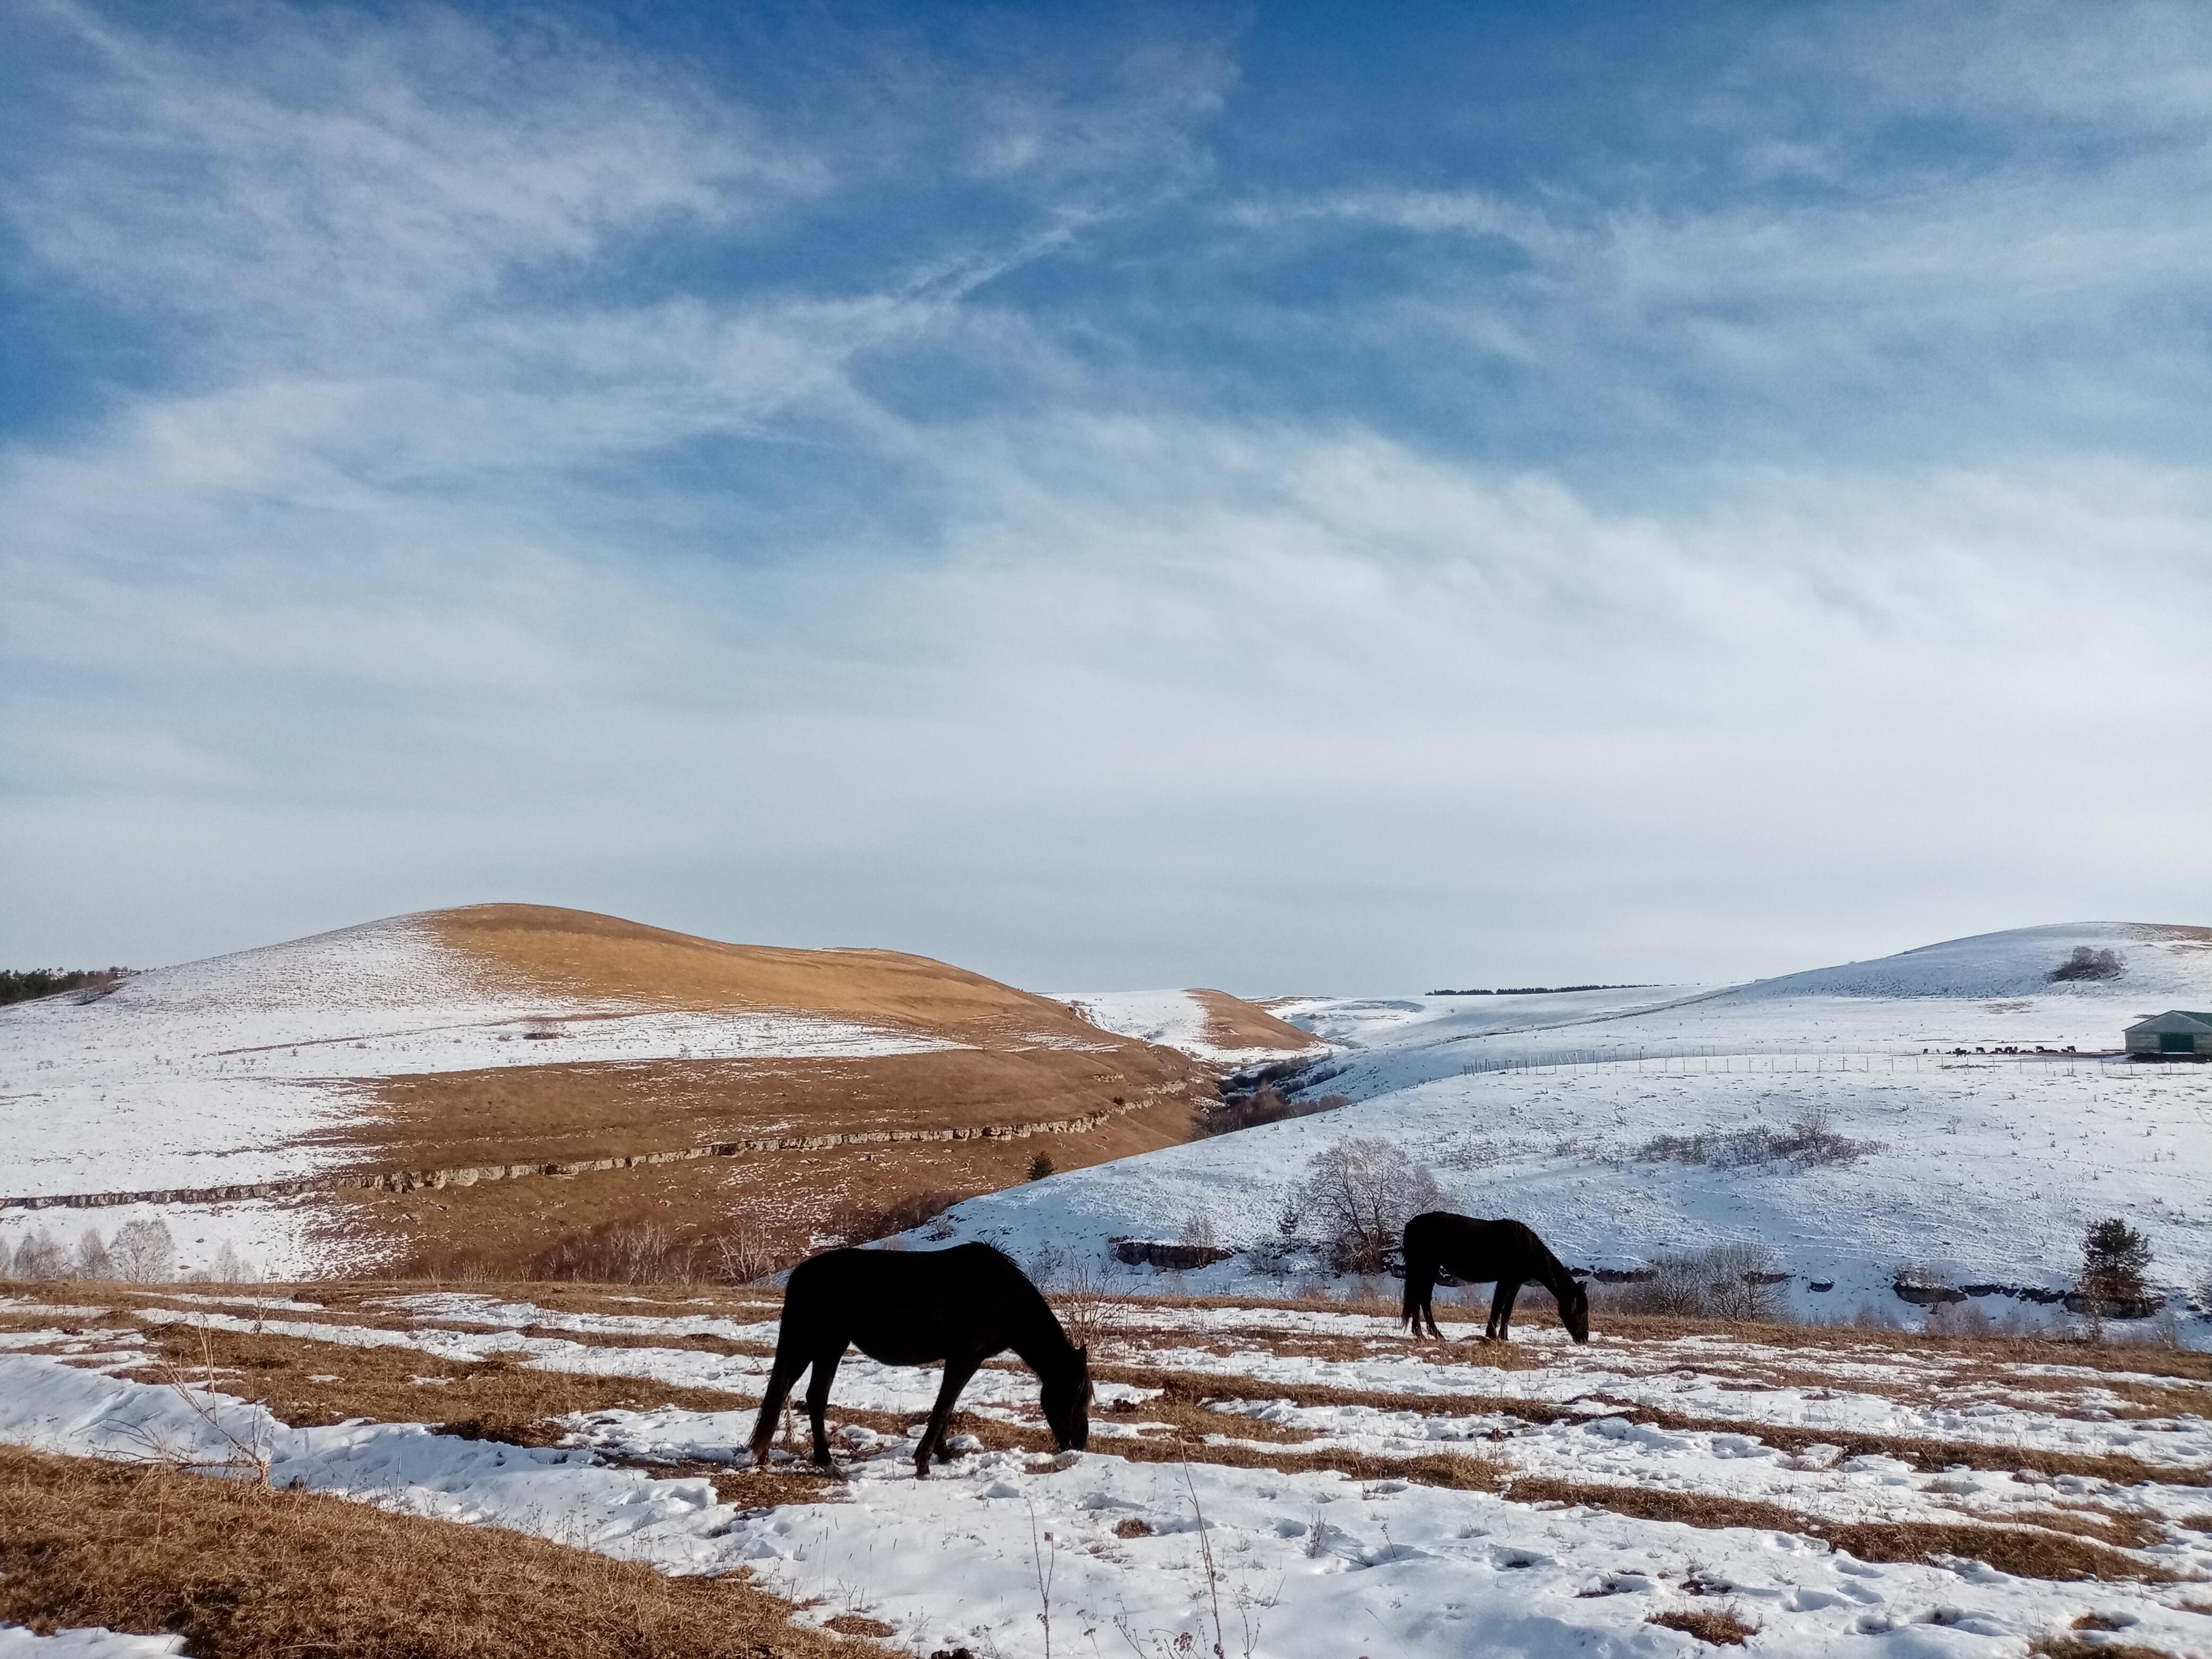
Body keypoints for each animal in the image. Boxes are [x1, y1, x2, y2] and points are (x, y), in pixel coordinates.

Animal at [743, 1247, 1088, 1477]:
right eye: (1074, 1394)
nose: (1079, 1444)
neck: (1005, 1299)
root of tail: (802, 1274)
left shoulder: (958, 1359)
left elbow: (947, 1404)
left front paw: (943, 1453)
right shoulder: (966, 1358)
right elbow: (944, 1406)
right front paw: (924, 1463)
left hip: (809, 1346)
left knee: (782, 1392)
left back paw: (764, 1457)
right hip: (827, 1345)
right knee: (813, 1397)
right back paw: (827, 1463)